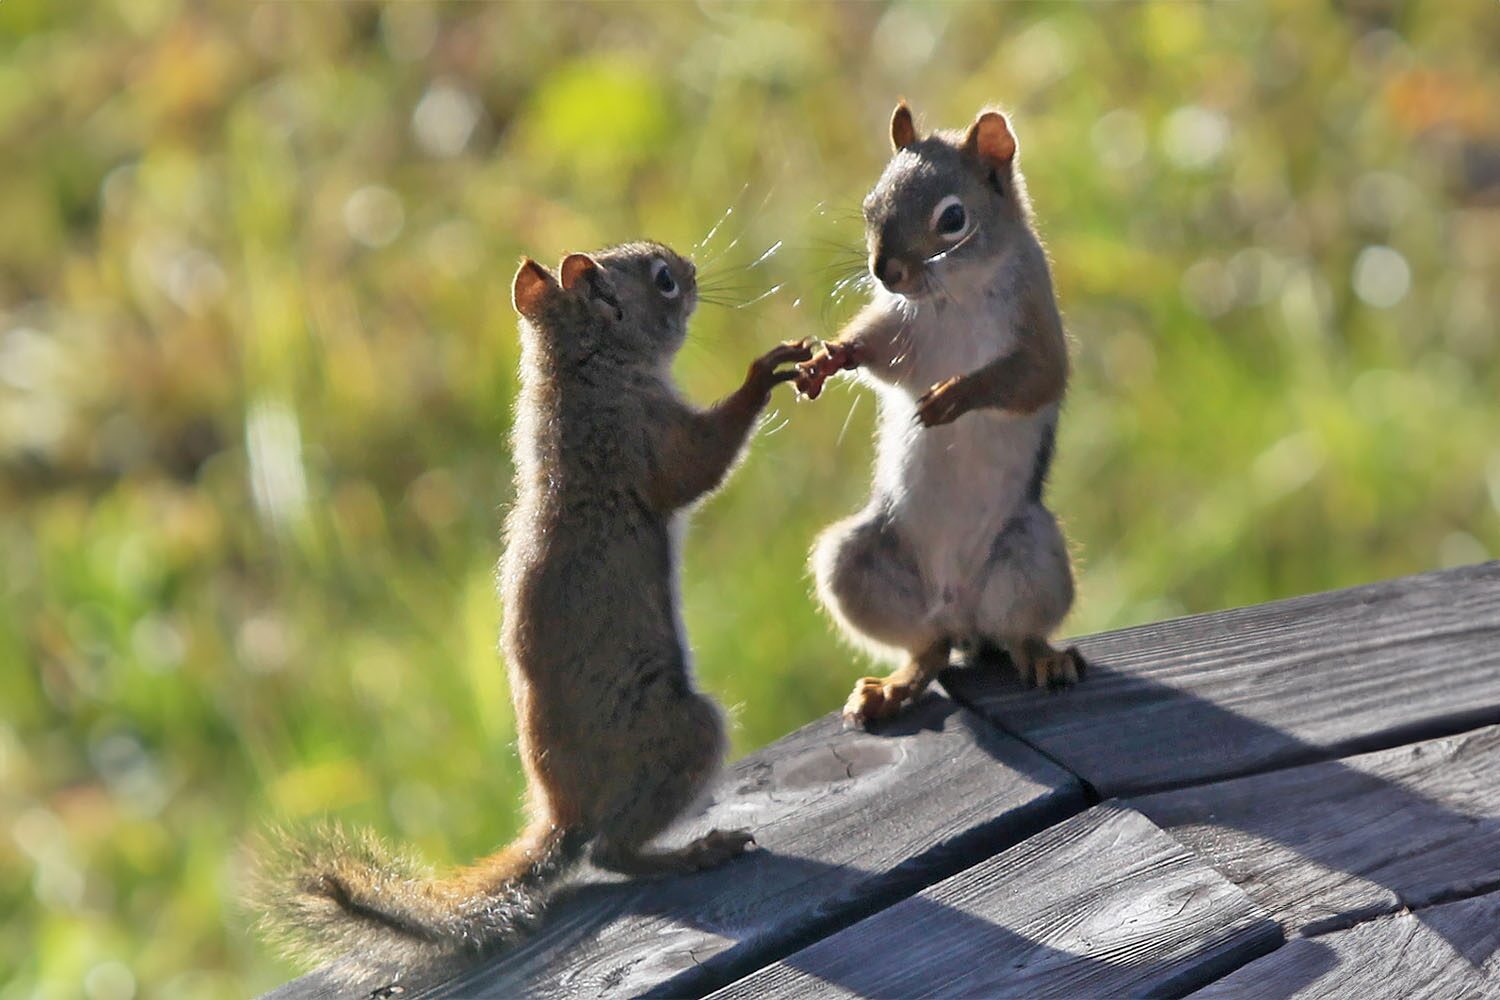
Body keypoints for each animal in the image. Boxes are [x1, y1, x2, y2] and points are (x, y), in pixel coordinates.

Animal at [248, 242, 813, 970]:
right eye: (662, 280)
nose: (690, 269)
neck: (583, 377)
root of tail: (565, 815)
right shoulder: (638, 440)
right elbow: (696, 464)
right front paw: (761, 375)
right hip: (683, 732)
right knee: (612, 851)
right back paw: (693, 851)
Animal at [797, 101, 1086, 727]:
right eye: (870, 206)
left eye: (953, 219)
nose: (885, 271)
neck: (955, 293)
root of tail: (960, 611)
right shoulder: (900, 330)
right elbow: (871, 348)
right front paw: (830, 358)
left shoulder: (1037, 321)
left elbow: (1032, 378)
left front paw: (957, 393)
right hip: (856, 565)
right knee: (927, 648)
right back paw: (893, 686)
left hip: (1032, 558)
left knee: (1017, 632)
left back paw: (1043, 658)